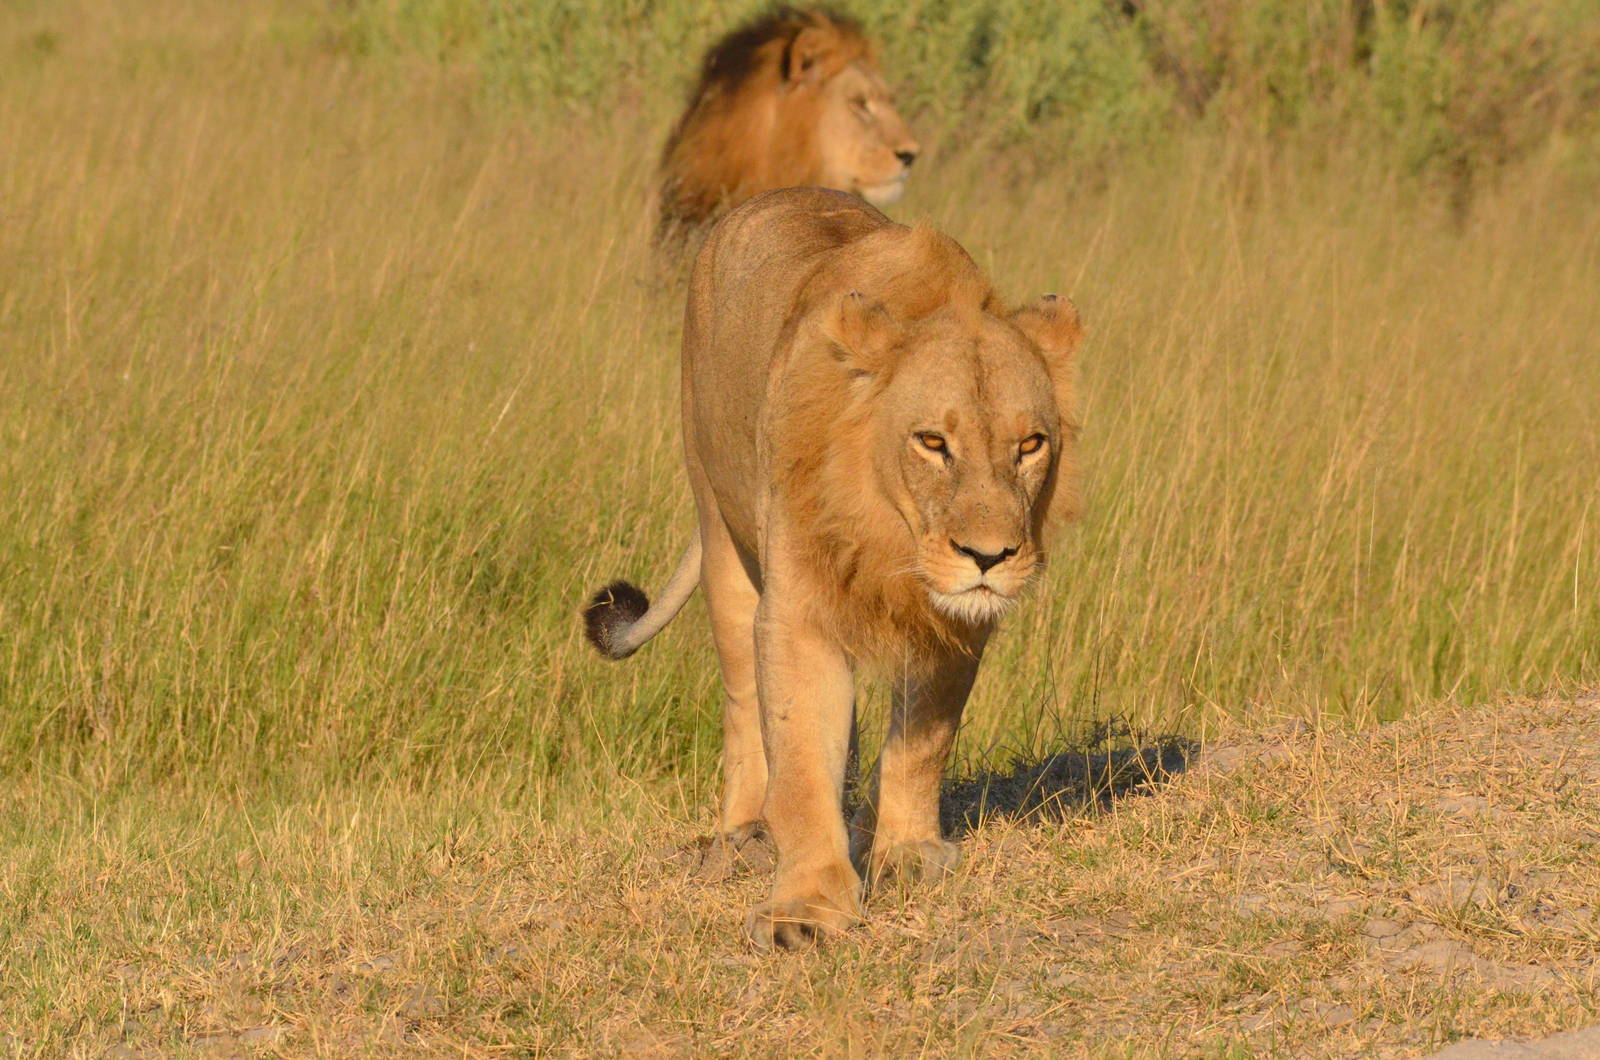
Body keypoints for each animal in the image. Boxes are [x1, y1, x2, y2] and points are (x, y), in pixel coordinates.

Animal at [585, 187, 1083, 949]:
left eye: (1031, 444)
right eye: (932, 442)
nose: (989, 557)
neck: (890, 534)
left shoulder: (956, 623)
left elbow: (923, 739)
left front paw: (907, 851)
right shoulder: (798, 610)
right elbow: (798, 760)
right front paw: (807, 908)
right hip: (719, 521)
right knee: (743, 698)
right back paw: (743, 834)